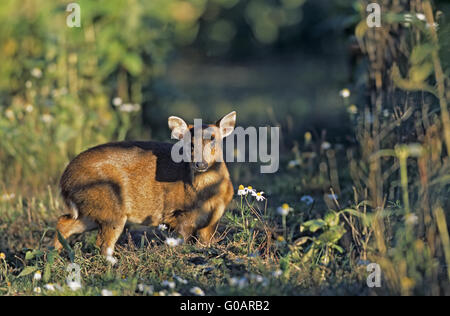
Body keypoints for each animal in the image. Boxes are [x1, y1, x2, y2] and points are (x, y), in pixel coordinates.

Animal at [53, 111, 236, 264]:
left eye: (213, 139)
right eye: (190, 144)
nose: (200, 164)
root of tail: (64, 180)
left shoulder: (212, 220)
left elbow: (206, 242)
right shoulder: (183, 215)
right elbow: (181, 240)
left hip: (91, 208)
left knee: (64, 221)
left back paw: (53, 255)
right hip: (109, 202)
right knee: (102, 242)